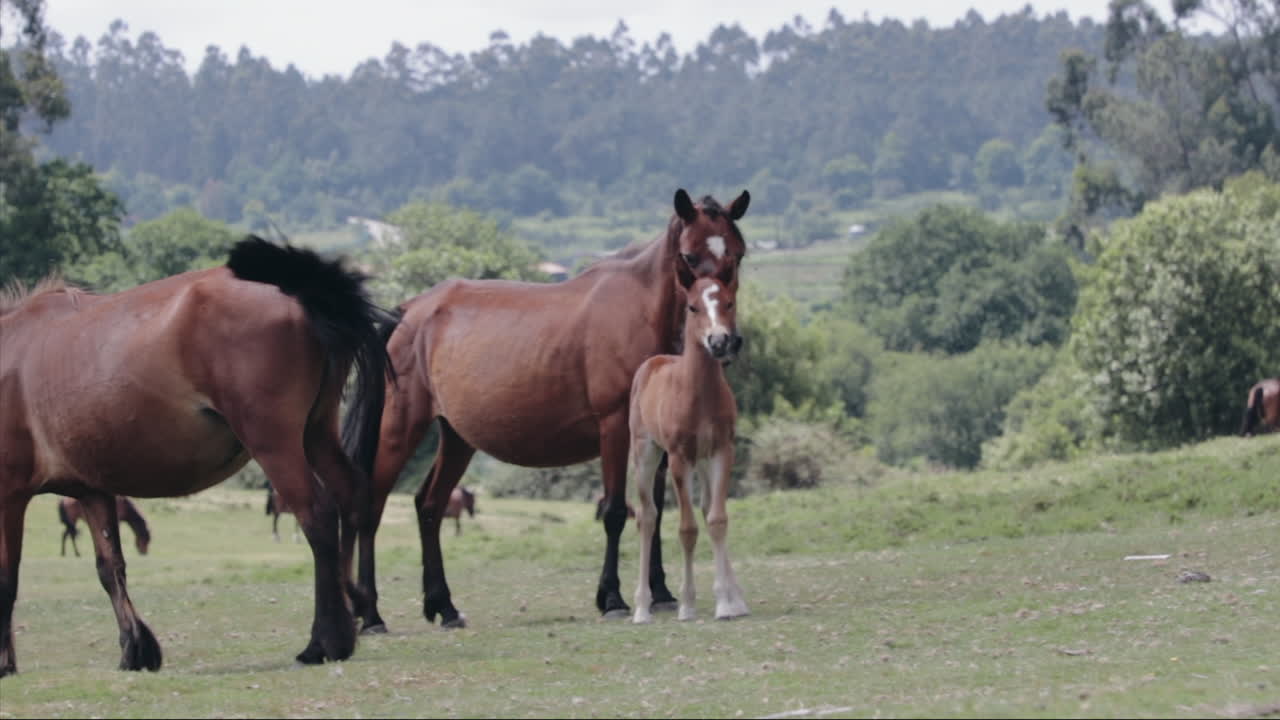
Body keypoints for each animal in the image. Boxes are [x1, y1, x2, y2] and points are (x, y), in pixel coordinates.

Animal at [0, 237, 390, 677]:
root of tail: (297, 288)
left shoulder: (9, 494)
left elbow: (7, 579)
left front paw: (4, 661)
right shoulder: (92, 492)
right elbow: (110, 568)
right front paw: (135, 649)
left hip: (276, 445)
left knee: (318, 517)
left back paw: (324, 640)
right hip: (317, 434)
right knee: (351, 500)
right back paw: (360, 610)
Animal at [630, 276, 748, 624]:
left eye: (729, 302)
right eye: (693, 306)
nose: (719, 341)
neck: (698, 393)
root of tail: (652, 363)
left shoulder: (722, 451)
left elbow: (716, 519)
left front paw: (727, 603)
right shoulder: (679, 458)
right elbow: (687, 528)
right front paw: (687, 605)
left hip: (703, 462)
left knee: (707, 506)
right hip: (645, 453)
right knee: (647, 516)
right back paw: (642, 608)